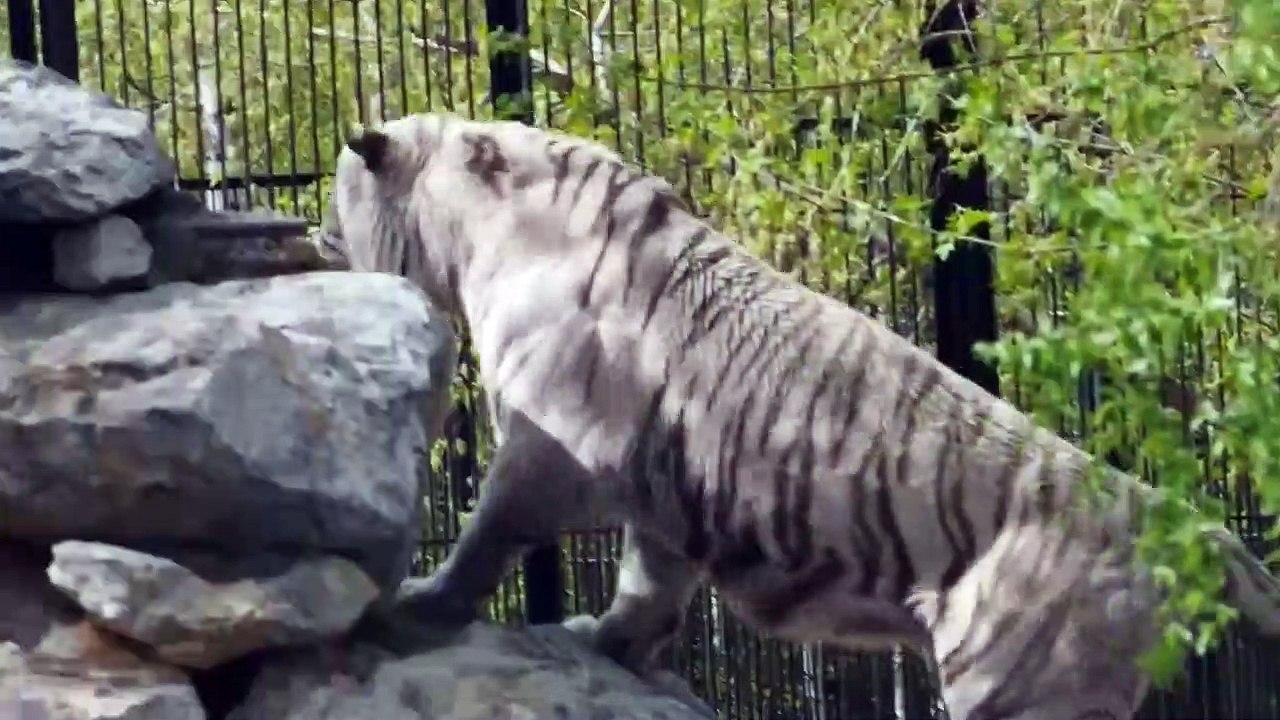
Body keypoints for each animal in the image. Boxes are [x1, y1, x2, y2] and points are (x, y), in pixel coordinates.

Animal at [317, 110, 1280, 720]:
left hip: (1016, 685)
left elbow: (490, 535)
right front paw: (611, 642)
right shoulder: (659, 492)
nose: (323, 240)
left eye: (340, 196)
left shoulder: (548, 447)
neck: (482, 226)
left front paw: (421, 605)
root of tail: (1184, 526)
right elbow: (650, 584)